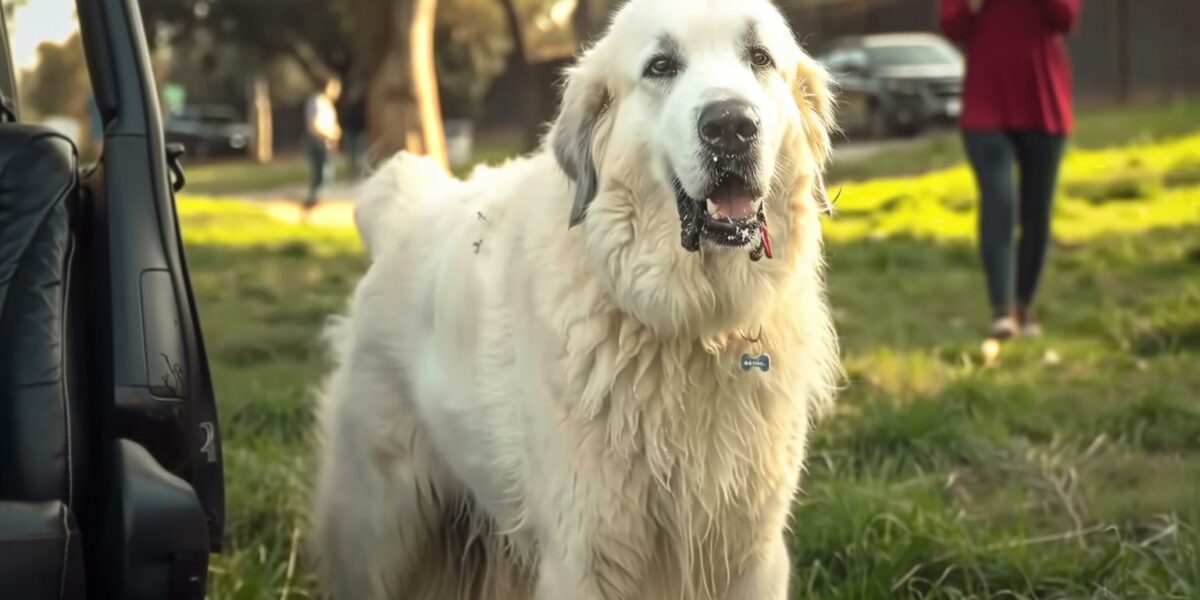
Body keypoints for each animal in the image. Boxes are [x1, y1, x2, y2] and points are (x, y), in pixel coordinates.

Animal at [319, 2, 844, 597]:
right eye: (661, 66)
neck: (691, 327)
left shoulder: (750, 552)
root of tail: (403, 204)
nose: (732, 125)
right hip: (379, 532)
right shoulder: (586, 556)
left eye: (759, 58)